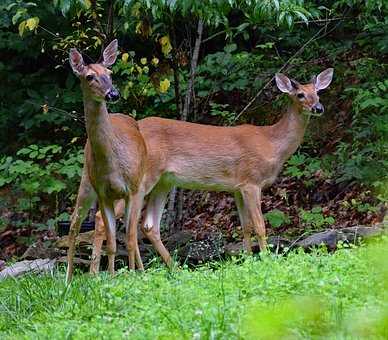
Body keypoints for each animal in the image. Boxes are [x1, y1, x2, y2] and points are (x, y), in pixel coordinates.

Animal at [65, 39, 147, 282]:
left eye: (110, 72)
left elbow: (129, 240)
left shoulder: (133, 189)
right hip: (86, 181)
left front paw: (131, 276)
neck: (113, 164)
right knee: (74, 223)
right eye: (89, 76)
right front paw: (112, 278)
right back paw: (67, 279)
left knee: (131, 233)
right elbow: (111, 243)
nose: (113, 93)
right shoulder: (103, 193)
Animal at [88, 67, 334, 272]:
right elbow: (260, 226)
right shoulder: (251, 182)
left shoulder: (237, 187)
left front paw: (247, 260)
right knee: (106, 217)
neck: (272, 143)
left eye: (318, 93)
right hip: (140, 178)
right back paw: (105, 273)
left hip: (164, 181)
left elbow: (245, 226)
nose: (319, 108)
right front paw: (266, 261)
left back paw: (172, 269)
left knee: (148, 225)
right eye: (300, 94)